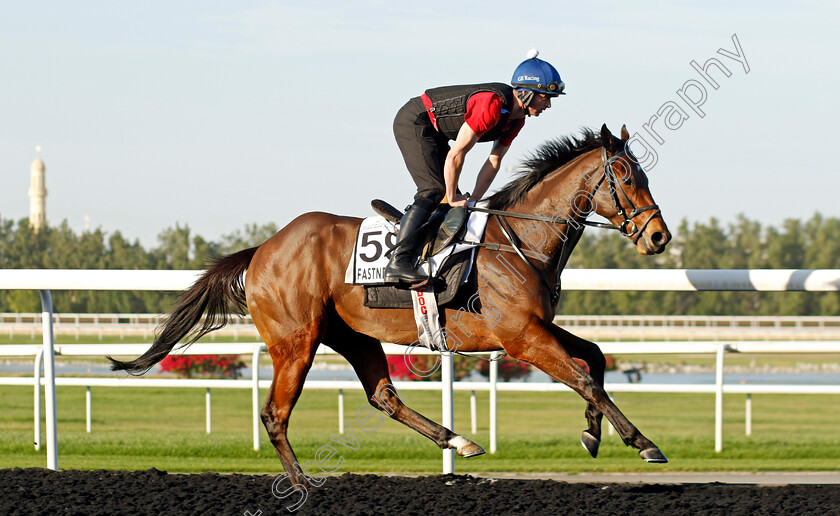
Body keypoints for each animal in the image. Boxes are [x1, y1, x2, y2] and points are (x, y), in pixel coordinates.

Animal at [111, 124, 672, 484]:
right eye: (626, 176)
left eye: (644, 175)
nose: (659, 236)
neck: (519, 240)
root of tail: (263, 249)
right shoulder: (520, 337)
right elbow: (582, 376)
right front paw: (642, 442)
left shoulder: (538, 327)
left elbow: (594, 358)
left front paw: (592, 433)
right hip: (296, 341)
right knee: (275, 414)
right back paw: (301, 485)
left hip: (352, 335)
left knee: (384, 396)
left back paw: (458, 441)